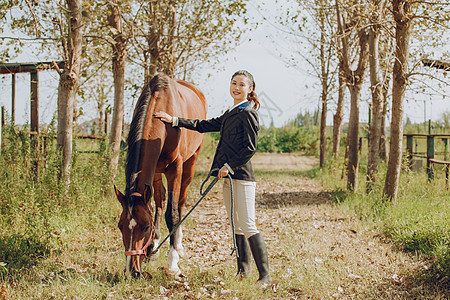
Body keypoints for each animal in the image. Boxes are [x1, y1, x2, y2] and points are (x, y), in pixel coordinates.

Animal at [116, 74, 207, 276]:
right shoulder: (154, 170)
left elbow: (171, 213)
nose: (131, 271)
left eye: (145, 227)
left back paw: (178, 244)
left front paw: (173, 262)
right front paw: (153, 246)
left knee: (180, 202)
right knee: (160, 200)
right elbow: (155, 204)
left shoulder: (175, 168)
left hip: (190, 164)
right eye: (120, 226)